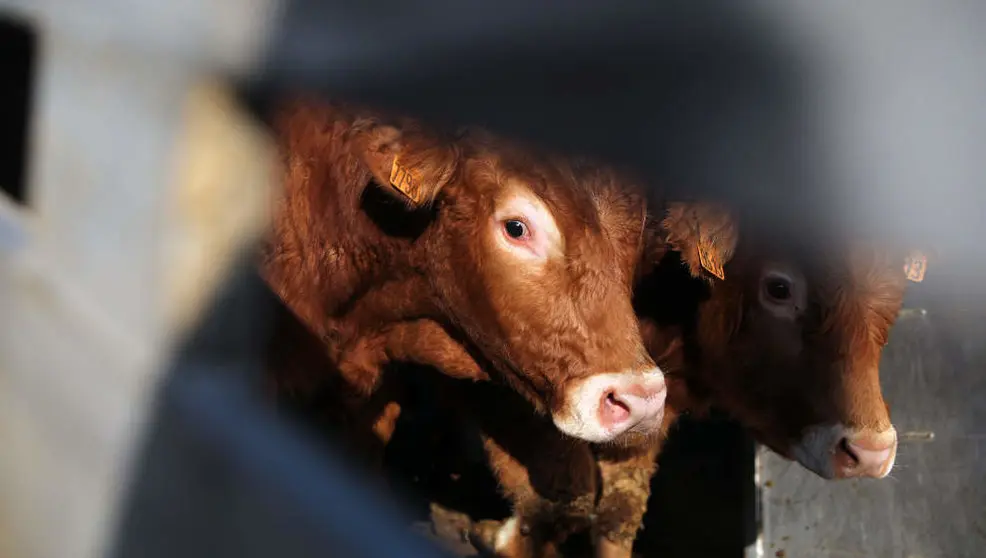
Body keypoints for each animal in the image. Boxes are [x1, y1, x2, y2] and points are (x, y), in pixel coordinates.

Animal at [463, 202, 928, 558]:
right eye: (779, 287)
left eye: (897, 290)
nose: (870, 452)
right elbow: (555, 502)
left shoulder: (641, 410)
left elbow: (617, 514)